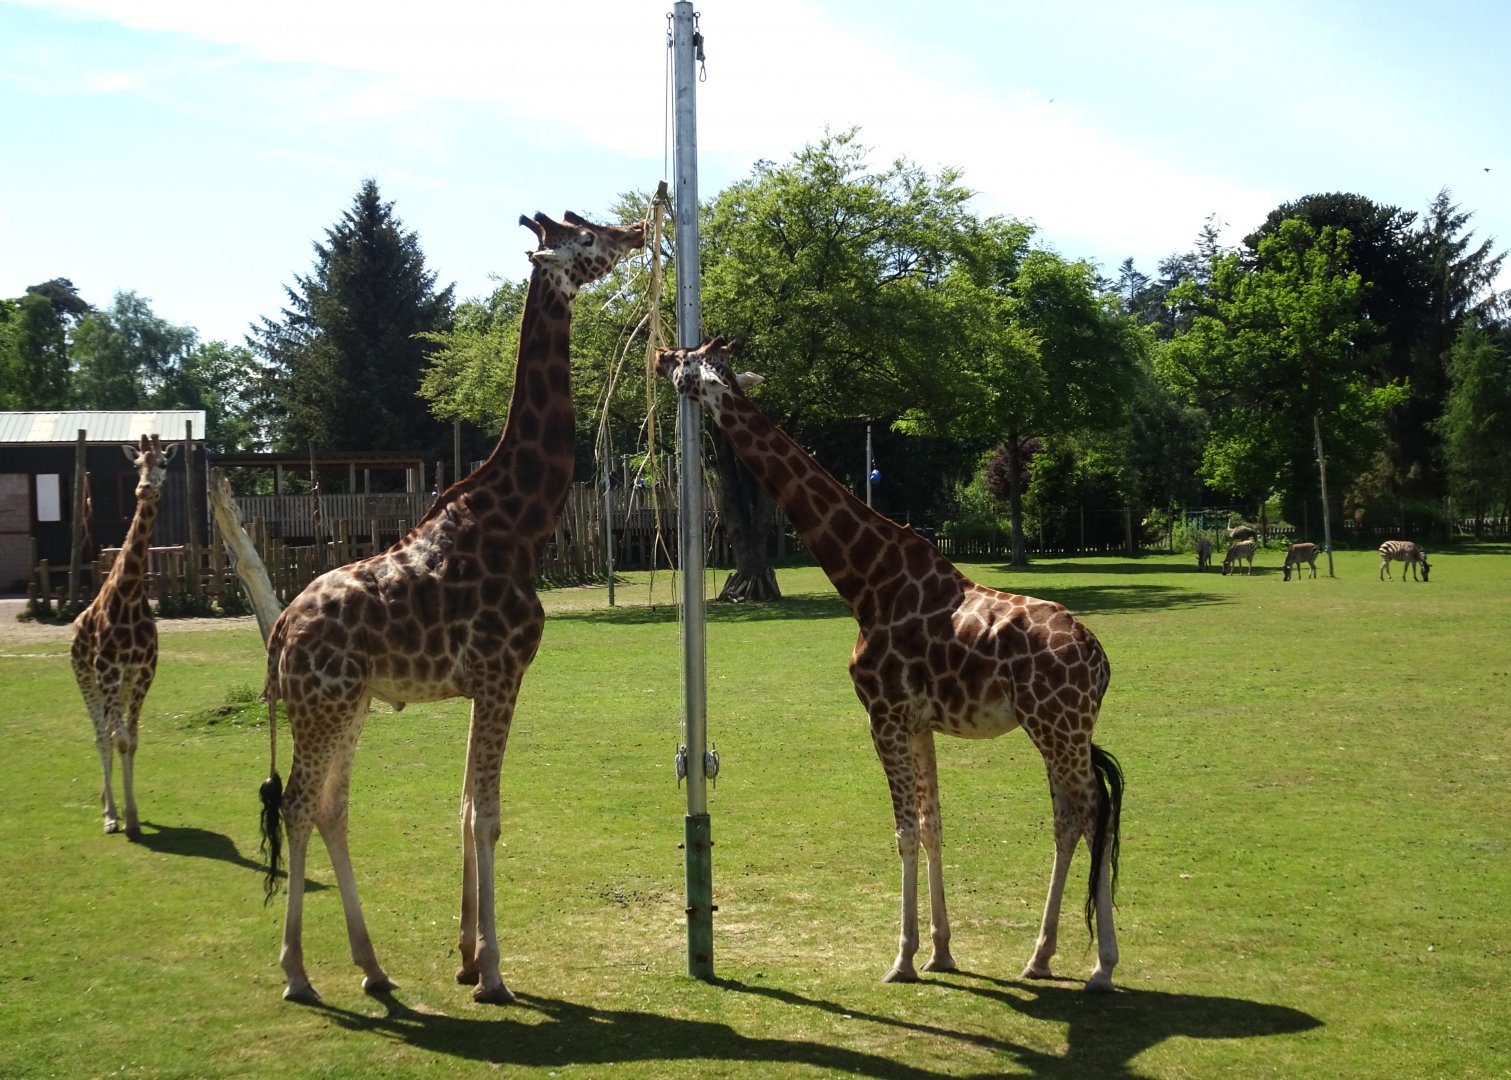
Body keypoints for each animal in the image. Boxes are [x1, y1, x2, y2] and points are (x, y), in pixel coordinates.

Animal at [71, 433, 178, 839]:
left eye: (163, 462)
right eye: (136, 465)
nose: (144, 488)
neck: (130, 594)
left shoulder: (143, 670)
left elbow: (131, 740)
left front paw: (133, 816)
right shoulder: (106, 669)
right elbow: (115, 738)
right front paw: (118, 817)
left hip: (121, 682)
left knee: (111, 732)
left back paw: (111, 802)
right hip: (86, 676)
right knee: (100, 735)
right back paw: (107, 812)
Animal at [258, 211, 645, 1005]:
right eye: (588, 238)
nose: (639, 229)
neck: (522, 521)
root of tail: (279, 631)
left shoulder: (479, 684)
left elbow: (465, 808)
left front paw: (466, 956)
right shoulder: (503, 673)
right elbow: (489, 815)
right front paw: (493, 973)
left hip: (349, 705)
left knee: (332, 807)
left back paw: (373, 967)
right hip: (322, 705)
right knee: (299, 804)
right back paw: (297, 974)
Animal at [656, 337, 1125, 992]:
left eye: (689, 361)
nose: (657, 356)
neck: (867, 579)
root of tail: (1099, 659)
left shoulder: (882, 714)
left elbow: (903, 830)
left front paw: (901, 959)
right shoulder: (919, 721)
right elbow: (931, 826)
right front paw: (941, 952)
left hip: (1057, 726)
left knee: (1091, 812)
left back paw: (1101, 966)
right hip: (1061, 730)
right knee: (1071, 817)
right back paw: (1040, 957)